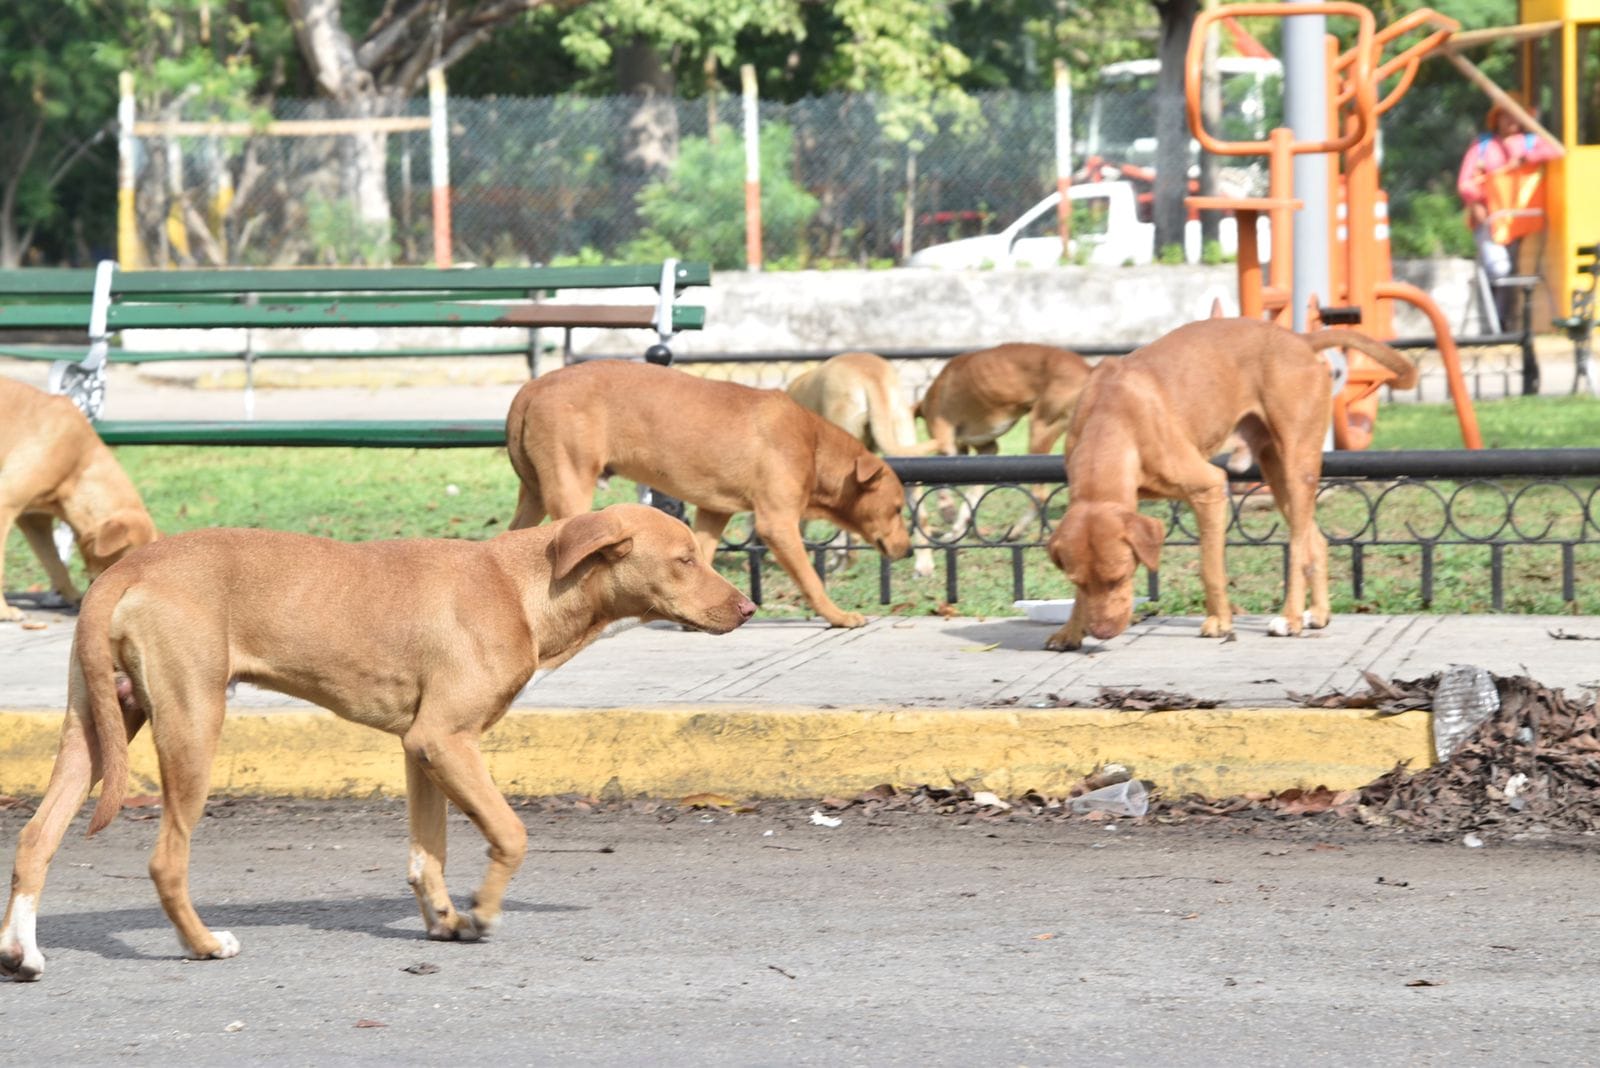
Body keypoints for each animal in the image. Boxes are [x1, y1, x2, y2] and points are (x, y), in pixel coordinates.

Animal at [0, 505, 755, 978]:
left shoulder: (422, 747)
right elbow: (511, 834)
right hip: (191, 724)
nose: (749, 608)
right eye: (685, 560)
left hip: (97, 725)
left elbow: (428, 854)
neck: (521, 586)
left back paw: (21, 954)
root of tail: (124, 570)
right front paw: (482, 912)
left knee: (37, 835)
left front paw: (446, 920)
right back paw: (204, 945)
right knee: (165, 861)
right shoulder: (446, 740)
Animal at [512, 361, 915, 626]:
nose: (909, 550)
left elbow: (702, 556)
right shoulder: (777, 523)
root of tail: (532, 387)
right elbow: (811, 579)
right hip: (570, 488)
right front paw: (838, 616)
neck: (813, 445)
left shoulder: (713, 511)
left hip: (534, 494)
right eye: (897, 509)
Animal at [1049, 316, 1414, 652]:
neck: (1110, 417)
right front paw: (1070, 631)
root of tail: (1299, 339)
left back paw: (1291, 618)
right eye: (1078, 582)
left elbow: (1210, 568)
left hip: (1298, 464)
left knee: (1298, 547)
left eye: (1120, 578)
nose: (1102, 633)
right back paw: (1319, 613)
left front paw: (1220, 622)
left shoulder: (1209, 488)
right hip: (1276, 472)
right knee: (1317, 540)